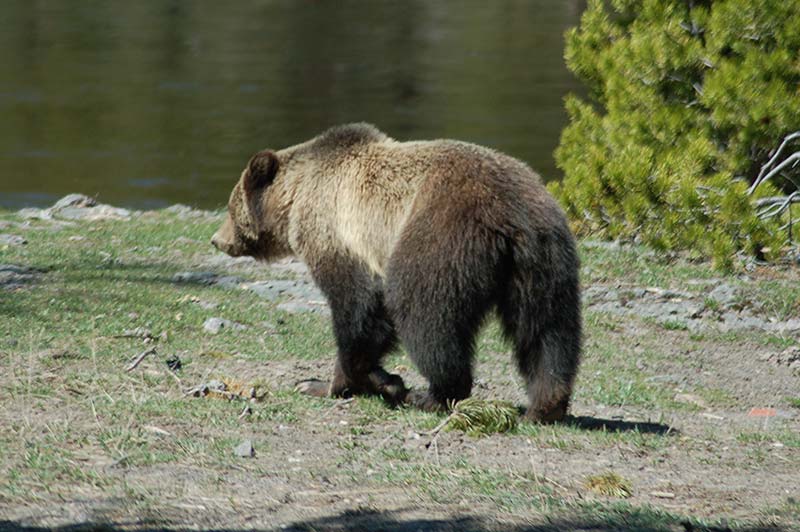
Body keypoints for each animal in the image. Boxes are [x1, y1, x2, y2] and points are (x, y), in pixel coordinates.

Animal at [212, 122, 580, 422]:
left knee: (424, 314)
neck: (296, 198)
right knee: (546, 328)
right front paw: (377, 379)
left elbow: (359, 307)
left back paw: (434, 394)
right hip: (543, 260)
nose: (217, 239)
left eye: (230, 206)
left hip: (441, 234)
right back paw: (545, 405)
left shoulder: (339, 233)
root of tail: (511, 214)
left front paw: (334, 383)